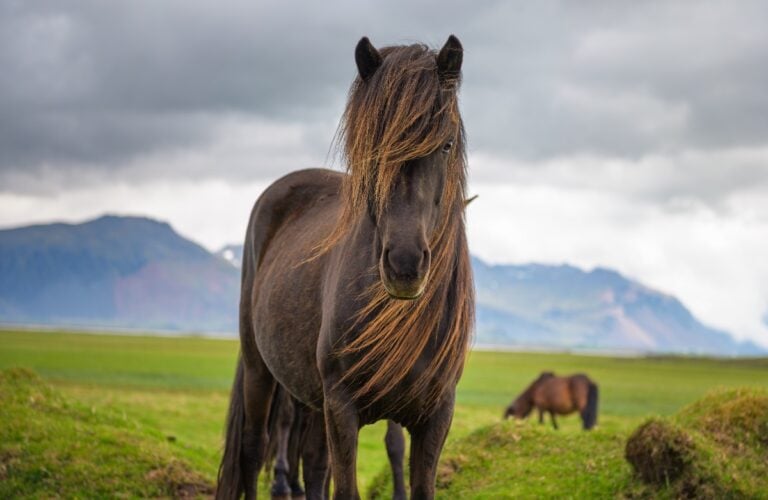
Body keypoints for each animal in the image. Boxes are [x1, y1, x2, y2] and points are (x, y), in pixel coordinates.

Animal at [216, 33, 474, 498]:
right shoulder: (342, 409)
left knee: (314, 464)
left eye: (446, 144)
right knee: (253, 448)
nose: (405, 264)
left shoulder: (436, 415)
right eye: (372, 147)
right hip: (260, 370)